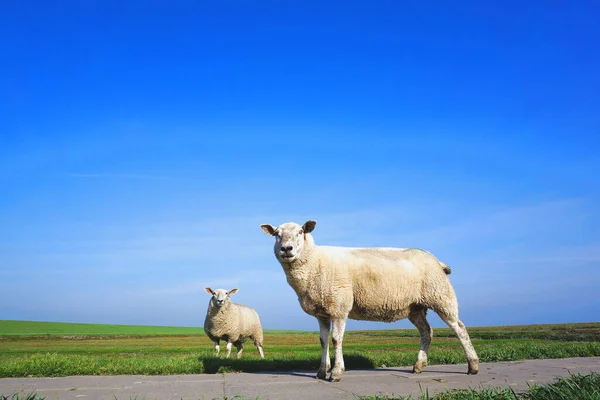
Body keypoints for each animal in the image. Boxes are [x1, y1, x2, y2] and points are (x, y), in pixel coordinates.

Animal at [260, 220, 480, 382]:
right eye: (276, 233)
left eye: (300, 232)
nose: (286, 249)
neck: (315, 262)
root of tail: (437, 261)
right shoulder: (322, 312)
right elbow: (323, 341)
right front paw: (321, 372)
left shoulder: (339, 306)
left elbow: (336, 339)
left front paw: (336, 373)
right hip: (415, 307)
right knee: (427, 331)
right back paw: (419, 366)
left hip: (441, 296)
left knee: (459, 328)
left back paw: (473, 365)